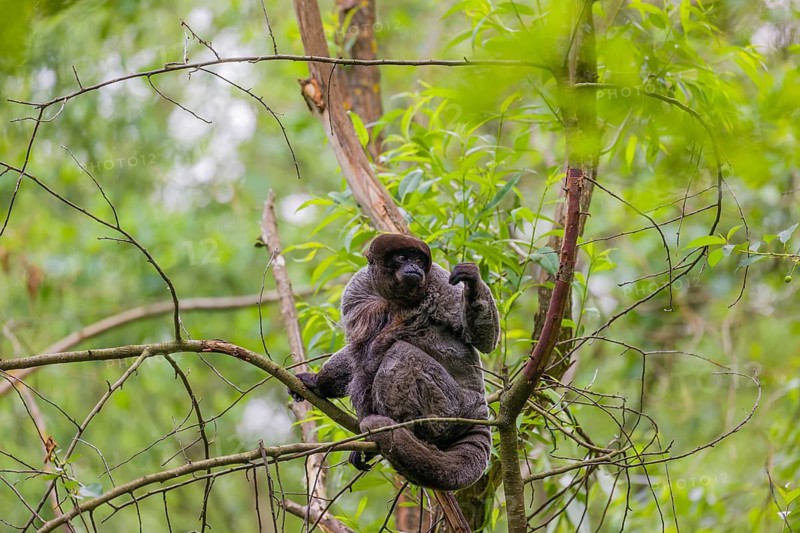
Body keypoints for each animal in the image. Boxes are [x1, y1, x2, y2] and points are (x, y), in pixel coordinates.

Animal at [292, 234, 500, 491]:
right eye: (402, 257)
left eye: (419, 260)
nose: (414, 267)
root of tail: (479, 408)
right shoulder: (355, 290)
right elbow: (356, 352)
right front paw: (317, 382)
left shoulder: (440, 281)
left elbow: (485, 341)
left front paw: (472, 282)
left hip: (451, 407)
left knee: (400, 351)